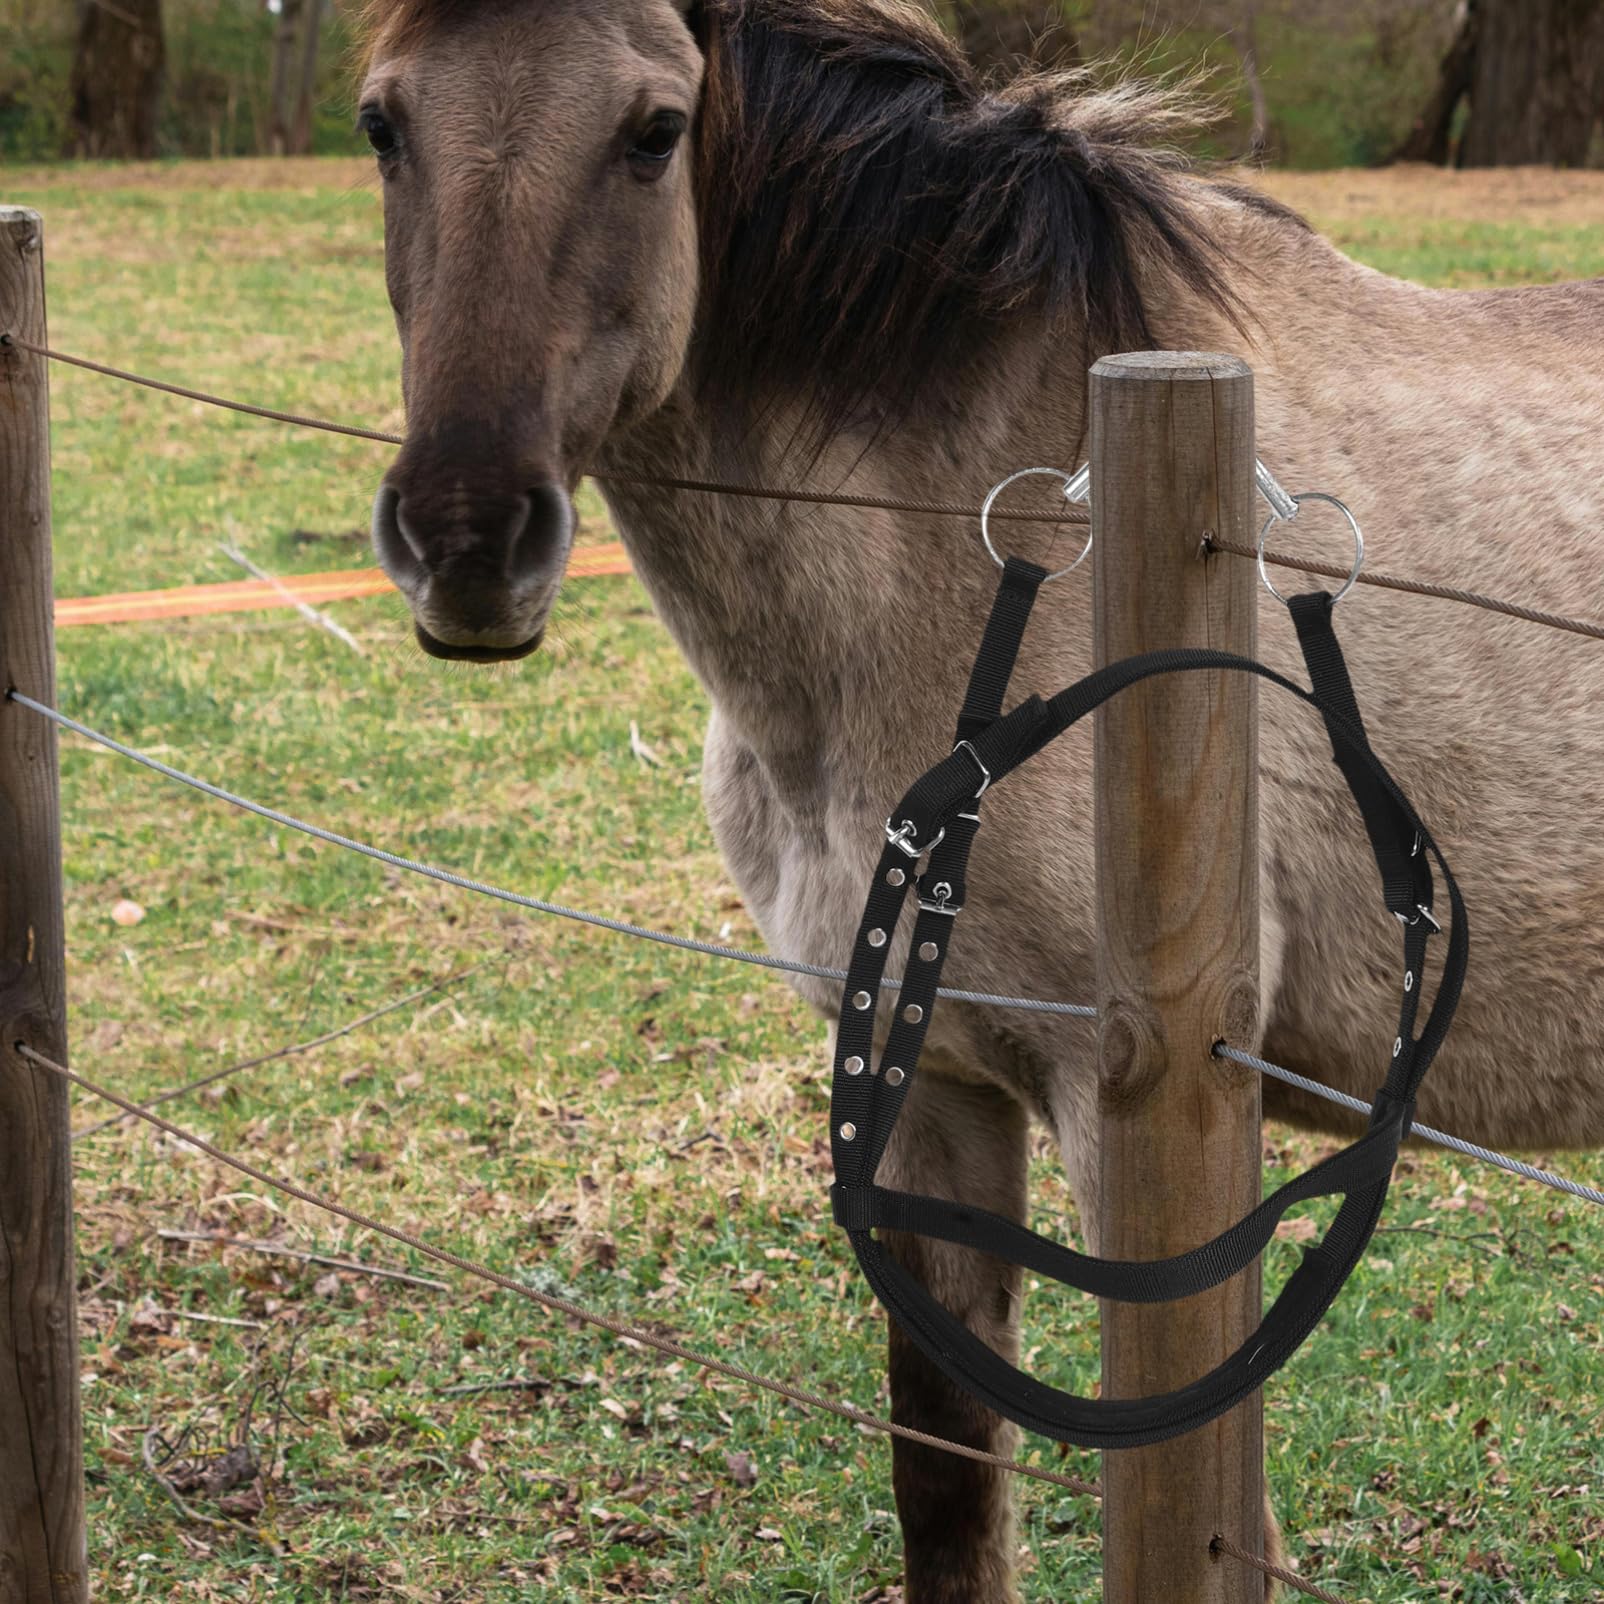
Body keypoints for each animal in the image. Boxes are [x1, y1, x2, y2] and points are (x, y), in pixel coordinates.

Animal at [355, 1, 1604, 1597]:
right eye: (383, 124)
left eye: (653, 131)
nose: (466, 542)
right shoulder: (931, 1087)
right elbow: (947, 1479)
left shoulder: (1136, 1113)